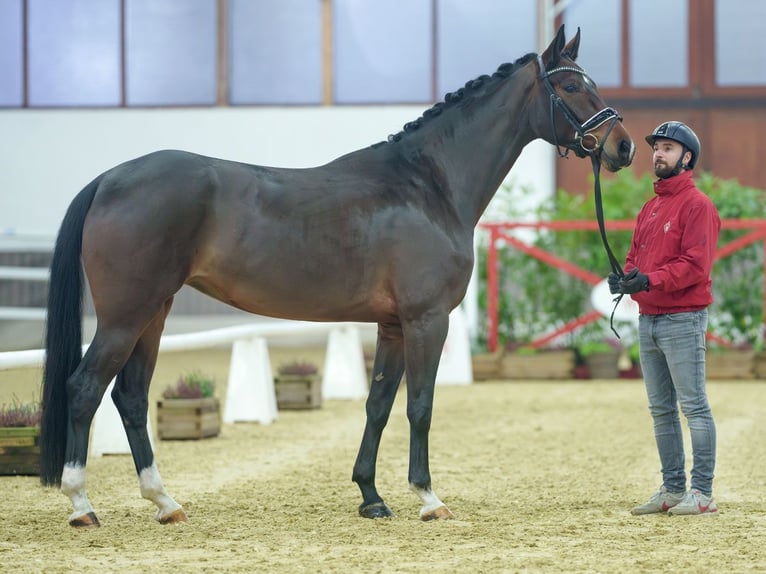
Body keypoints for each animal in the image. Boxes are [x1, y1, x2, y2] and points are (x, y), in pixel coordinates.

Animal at [39, 28, 636, 532]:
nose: (623, 147)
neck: (429, 186)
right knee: (85, 387)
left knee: (131, 397)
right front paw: (428, 498)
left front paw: (371, 497)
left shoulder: (392, 325)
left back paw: (165, 502)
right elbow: (420, 405)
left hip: (154, 312)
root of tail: (109, 179)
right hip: (127, 314)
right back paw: (81, 505)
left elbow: (378, 406)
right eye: (569, 85)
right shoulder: (427, 321)